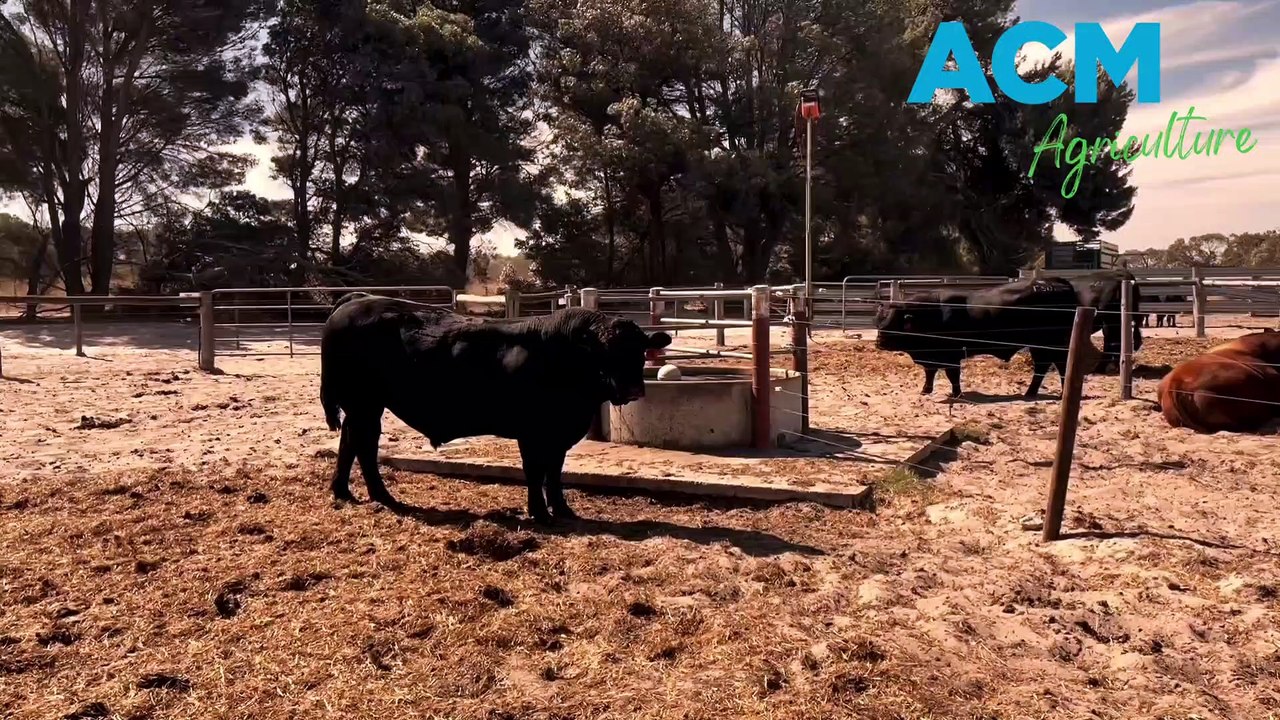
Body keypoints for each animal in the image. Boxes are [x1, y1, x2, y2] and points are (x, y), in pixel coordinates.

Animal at [319, 293, 672, 523]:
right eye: (605, 352)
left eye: (640, 350)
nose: (633, 388)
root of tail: (356, 301)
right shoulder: (532, 432)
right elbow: (536, 471)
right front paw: (540, 513)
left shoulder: (558, 434)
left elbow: (555, 472)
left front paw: (562, 509)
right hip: (363, 404)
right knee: (362, 445)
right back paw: (381, 496)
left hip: (364, 406)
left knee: (351, 442)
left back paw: (346, 492)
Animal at [874, 277, 1080, 398]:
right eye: (881, 319)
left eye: (894, 322)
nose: (879, 342)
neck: (933, 313)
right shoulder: (933, 355)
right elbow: (930, 372)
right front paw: (926, 390)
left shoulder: (951, 355)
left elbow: (952, 375)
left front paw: (956, 394)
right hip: (1039, 346)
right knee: (1042, 367)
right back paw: (1030, 393)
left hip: (1050, 344)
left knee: (1059, 366)